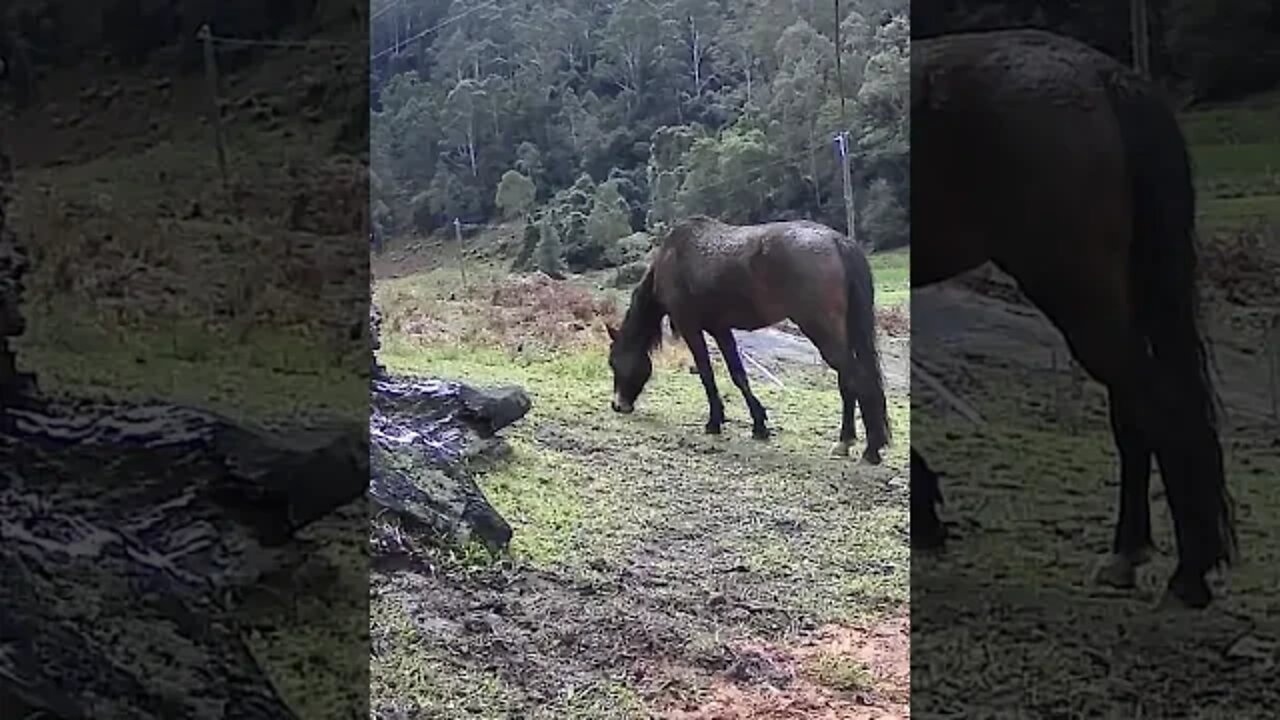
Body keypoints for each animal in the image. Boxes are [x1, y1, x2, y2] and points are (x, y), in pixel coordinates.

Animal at [605, 215, 891, 463]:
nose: (618, 405)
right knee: (848, 380)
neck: (672, 257)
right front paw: (759, 425)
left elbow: (707, 374)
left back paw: (870, 449)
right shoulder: (720, 328)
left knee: (855, 378)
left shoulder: (691, 327)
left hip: (822, 332)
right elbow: (738, 374)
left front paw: (714, 422)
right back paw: (847, 442)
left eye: (614, 361)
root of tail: (836, 240)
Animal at [911, 28, 1237, 610]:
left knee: (1157, 403)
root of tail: (1105, 76)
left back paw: (1189, 572)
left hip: (1074, 292)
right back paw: (1127, 555)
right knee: (1134, 407)